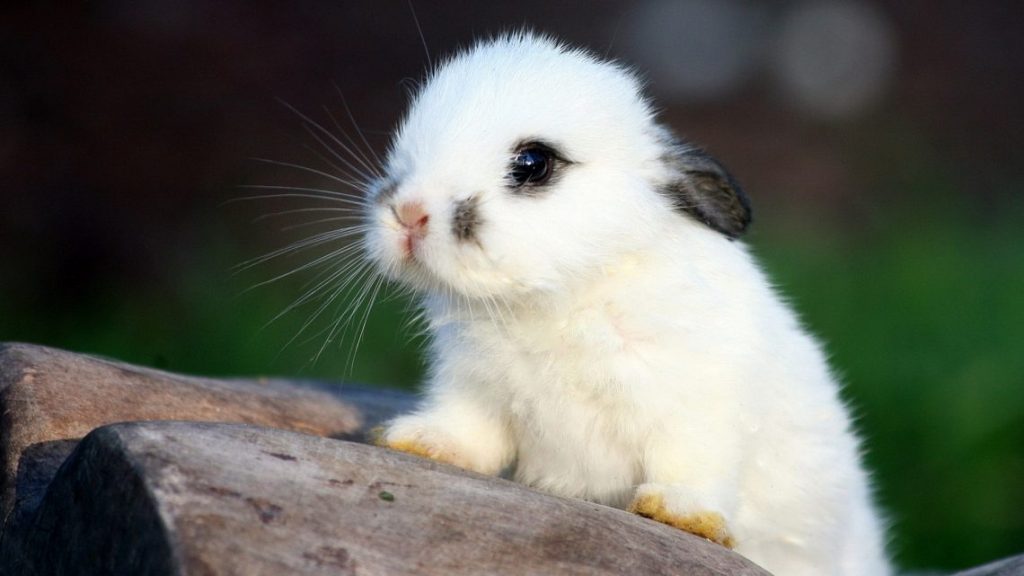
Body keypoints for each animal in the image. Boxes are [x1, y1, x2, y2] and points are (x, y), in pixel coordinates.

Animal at [364, 32, 890, 576]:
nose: (408, 213)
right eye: (406, 149)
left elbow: (692, 462)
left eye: (533, 163)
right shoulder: (473, 389)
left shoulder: (698, 405)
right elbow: (469, 433)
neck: (559, 298)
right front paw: (418, 441)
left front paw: (678, 513)